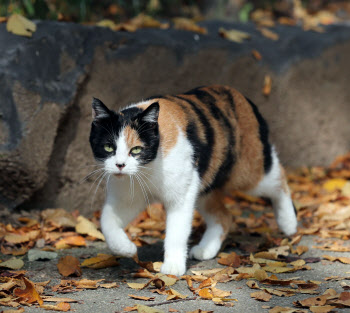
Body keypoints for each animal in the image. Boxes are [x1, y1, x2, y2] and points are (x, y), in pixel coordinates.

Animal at [89, 84, 296, 274]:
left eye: (137, 149)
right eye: (108, 147)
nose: (120, 164)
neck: (148, 168)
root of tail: (240, 95)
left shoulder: (181, 196)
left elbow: (177, 231)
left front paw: (172, 267)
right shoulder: (127, 198)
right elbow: (106, 219)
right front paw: (125, 248)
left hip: (247, 172)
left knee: (278, 177)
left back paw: (289, 223)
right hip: (205, 184)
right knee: (224, 216)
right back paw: (206, 249)